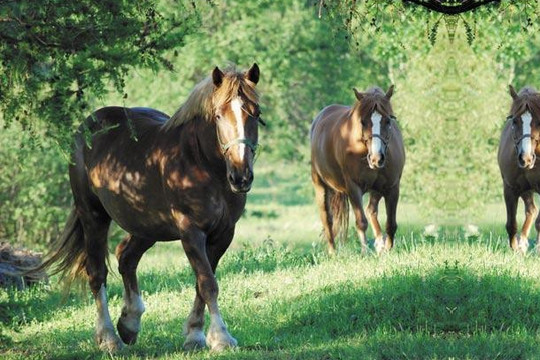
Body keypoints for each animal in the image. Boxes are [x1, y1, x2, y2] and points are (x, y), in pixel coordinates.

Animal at [33, 64, 262, 352]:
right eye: (219, 115)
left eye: (256, 113)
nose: (241, 176)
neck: (202, 164)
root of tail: (87, 126)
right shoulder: (191, 231)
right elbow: (208, 283)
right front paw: (220, 337)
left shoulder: (223, 234)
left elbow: (201, 283)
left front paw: (195, 334)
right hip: (93, 216)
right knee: (97, 273)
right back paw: (109, 337)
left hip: (147, 226)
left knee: (126, 257)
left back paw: (129, 324)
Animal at [310, 86, 402, 255]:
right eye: (363, 122)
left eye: (388, 120)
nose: (376, 158)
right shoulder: (353, 188)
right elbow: (361, 222)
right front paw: (365, 252)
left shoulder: (392, 187)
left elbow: (391, 223)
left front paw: (387, 249)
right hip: (320, 186)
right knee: (327, 219)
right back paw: (333, 252)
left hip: (376, 190)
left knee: (371, 210)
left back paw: (380, 244)